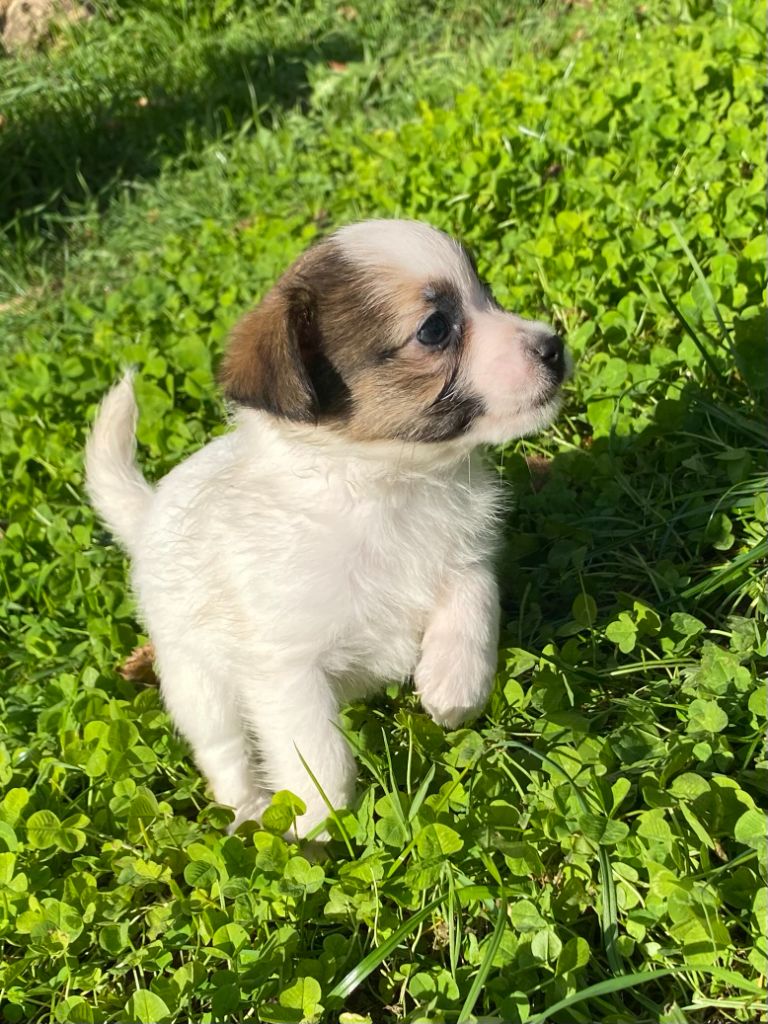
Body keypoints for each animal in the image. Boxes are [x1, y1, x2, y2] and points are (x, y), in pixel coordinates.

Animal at [87, 220, 569, 835]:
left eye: (486, 294)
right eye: (435, 329)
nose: (555, 346)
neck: (386, 489)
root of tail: (147, 513)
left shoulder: (468, 554)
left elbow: (472, 597)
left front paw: (453, 683)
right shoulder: (286, 670)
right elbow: (322, 761)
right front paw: (312, 823)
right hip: (197, 685)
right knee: (224, 754)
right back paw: (248, 810)